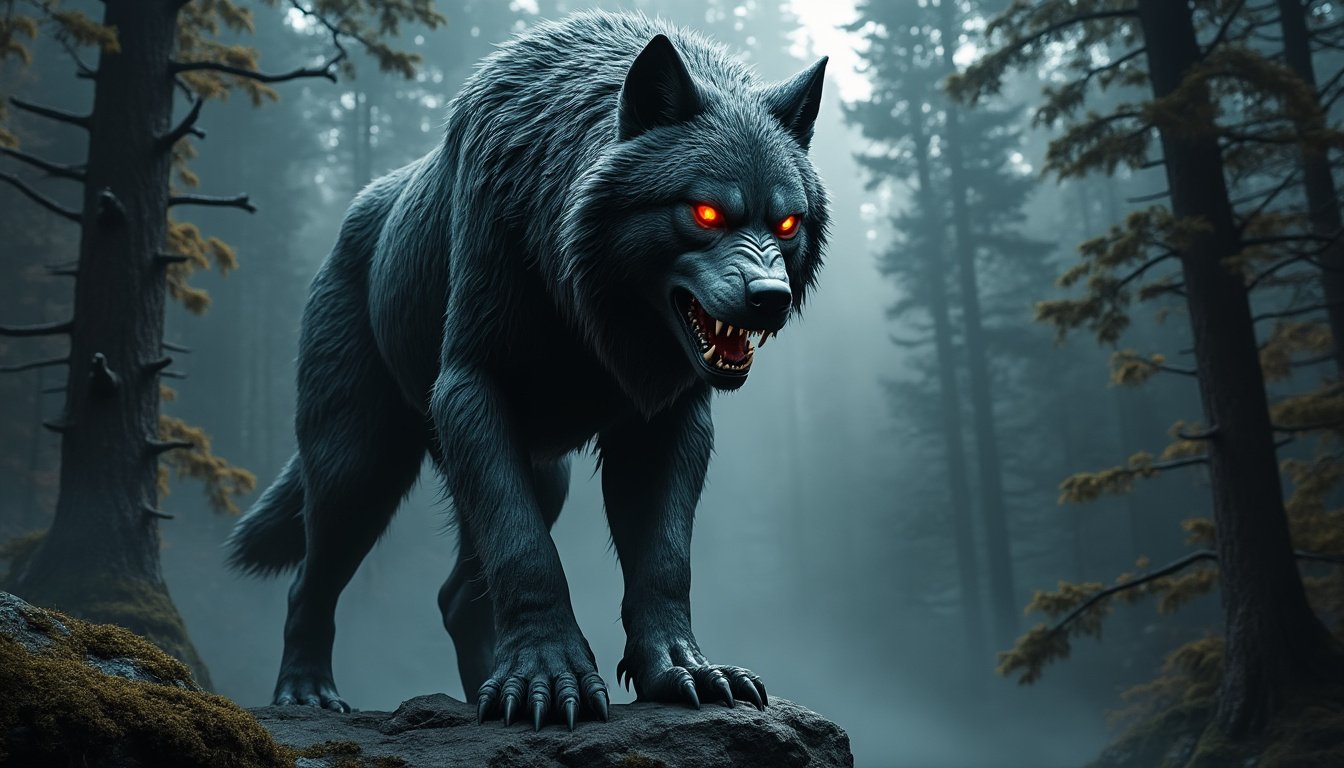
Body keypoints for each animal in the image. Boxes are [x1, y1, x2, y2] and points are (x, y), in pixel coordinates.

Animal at [225, 10, 828, 731]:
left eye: (786, 223)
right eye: (706, 212)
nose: (771, 298)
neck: (585, 307)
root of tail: (356, 215)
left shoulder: (665, 424)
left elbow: (664, 560)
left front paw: (683, 669)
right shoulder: (472, 388)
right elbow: (528, 552)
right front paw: (548, 677)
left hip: (545, 475)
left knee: (457, 596)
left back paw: (479, 694)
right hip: (360, 465)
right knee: (310, 582)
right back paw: (307, 693)